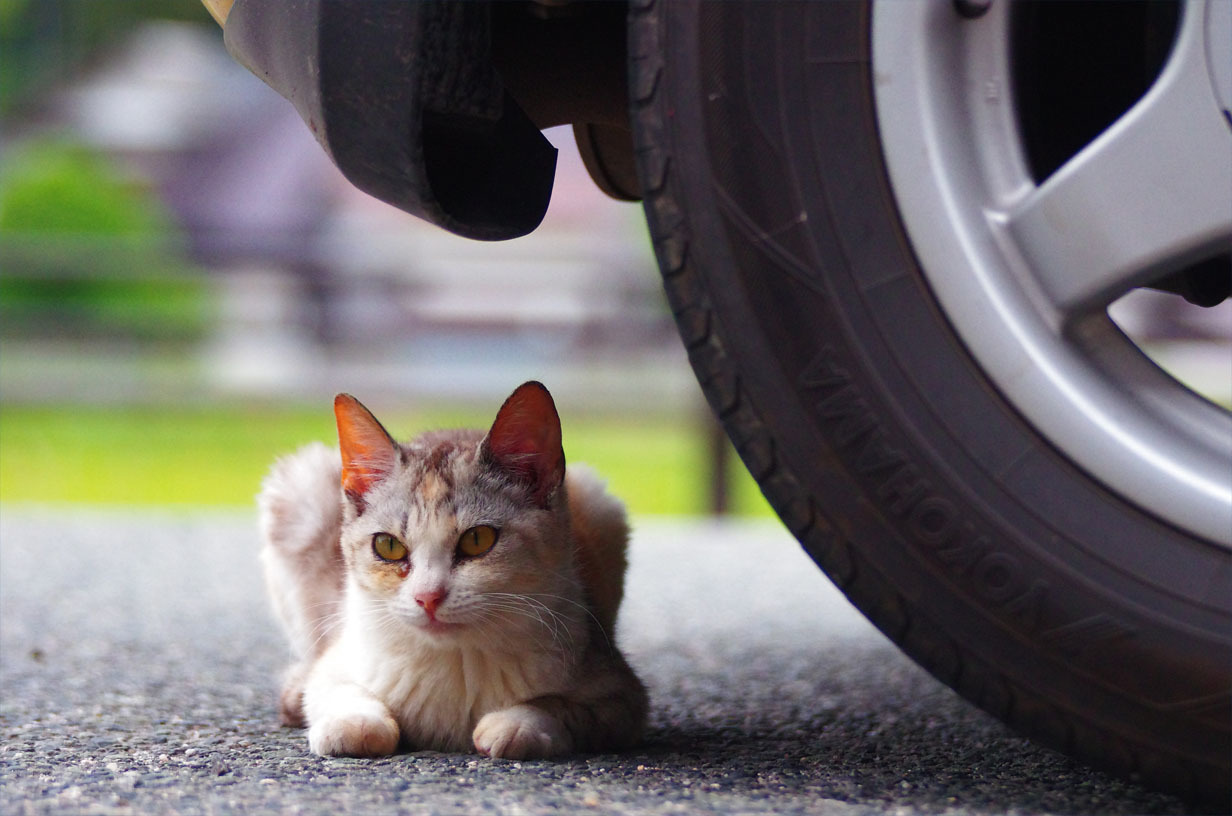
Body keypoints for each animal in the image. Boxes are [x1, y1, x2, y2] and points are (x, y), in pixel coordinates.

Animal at [256, 384, 650, 759]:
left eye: (478, 539)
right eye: (388, 546)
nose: (428, 597)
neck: (456, 661)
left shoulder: (621, 696)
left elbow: (562, 707)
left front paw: (518, 724)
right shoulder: (340, 657)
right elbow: (333, 687)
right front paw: (355, 723)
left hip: (603, 508)